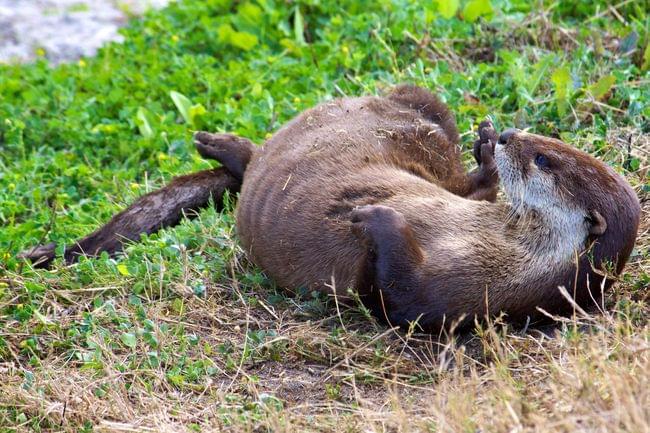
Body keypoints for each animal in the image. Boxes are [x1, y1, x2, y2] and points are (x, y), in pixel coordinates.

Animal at [20, 85, 636, 330]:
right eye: (548, 144)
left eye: (543, 161)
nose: (509, 135)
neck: (504, 248)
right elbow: (473, 192)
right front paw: (485, 144)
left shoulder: (462, 296)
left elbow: (400, 294)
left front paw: (375, 216)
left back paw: (219, 145)